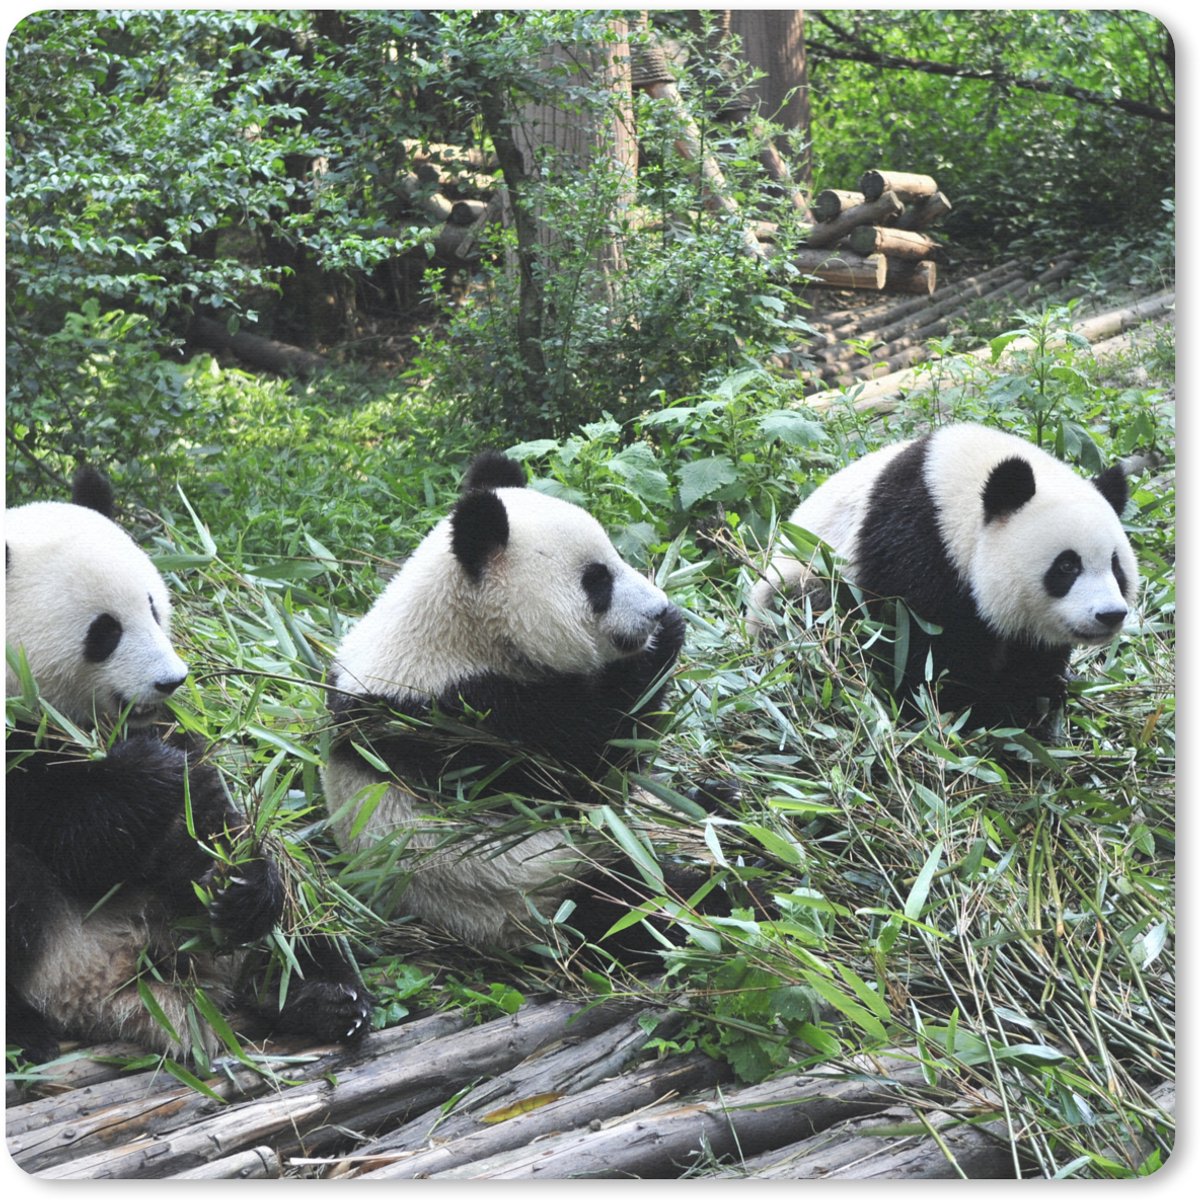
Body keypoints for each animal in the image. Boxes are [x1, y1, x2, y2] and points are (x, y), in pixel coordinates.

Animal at [6, 468, 370, 1063]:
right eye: (104, 631)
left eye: (154, 606)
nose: (172, 681)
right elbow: (79, 843)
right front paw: (148, 769)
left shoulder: (180, 730)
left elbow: (207, 822)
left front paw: (242, 888)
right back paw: (24, 1033)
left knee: (304, 921)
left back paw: (323, 997)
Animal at [323, 451, 714, 958]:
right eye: (597, 581)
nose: (657, 607)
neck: (461, 632)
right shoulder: (462, 721)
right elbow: (586, 771)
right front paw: (662, 641)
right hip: (530, 890)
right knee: (639, 907)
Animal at [747, 423, 1140, 728]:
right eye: (1067, 566)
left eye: (1116, 566)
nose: (1109, 614)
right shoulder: (915, 548)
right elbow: (923, 651)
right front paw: (977, 711)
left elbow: (1031, 654)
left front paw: (1035, 695)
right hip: (805, 581)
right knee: (803, 613)